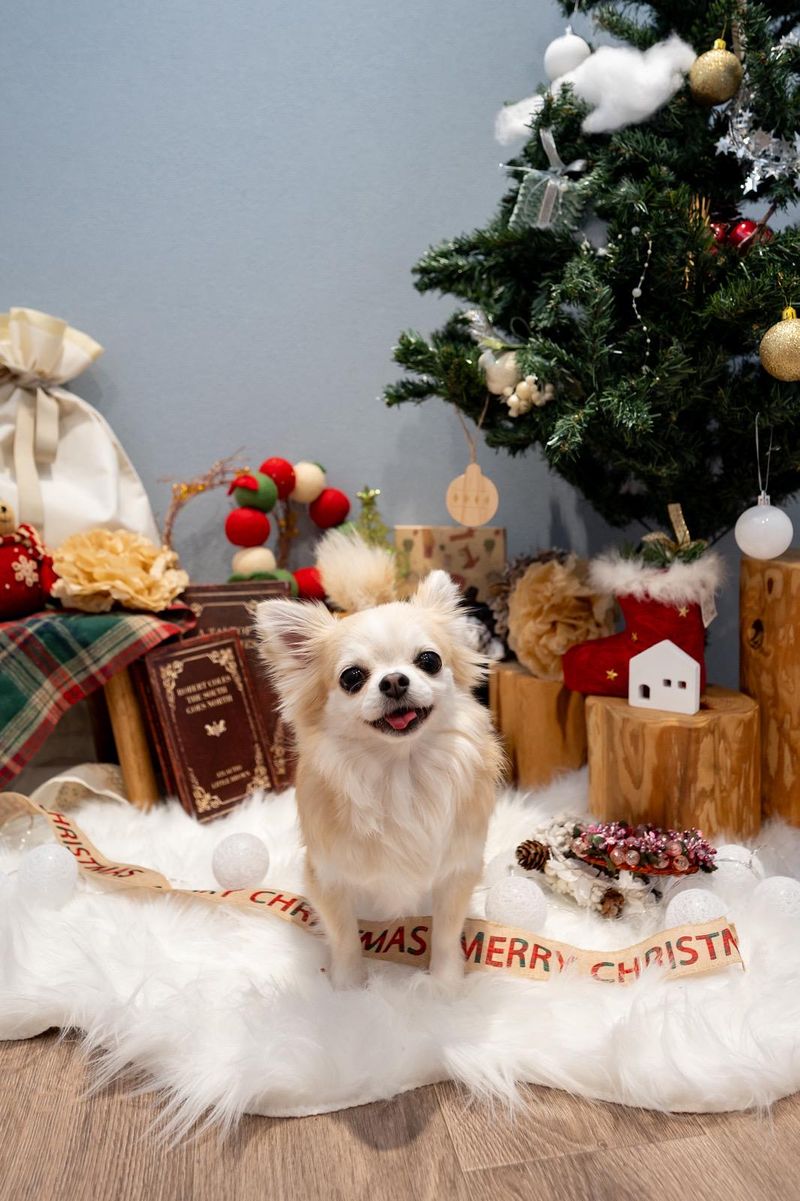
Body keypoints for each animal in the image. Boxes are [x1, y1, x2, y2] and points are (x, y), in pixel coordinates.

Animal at [256, 530, 504, 989]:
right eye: (352, 677)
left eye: (429, 660)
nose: (393, 681)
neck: (398, 772)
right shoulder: (329, 878)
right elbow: (345, 936)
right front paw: (350, 988)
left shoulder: (455, 873)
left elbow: (444, 934)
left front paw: (445, 986)